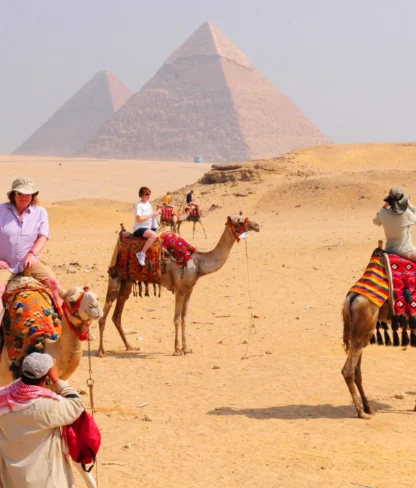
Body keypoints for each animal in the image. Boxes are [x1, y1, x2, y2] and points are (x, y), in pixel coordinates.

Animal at [98, 215, 258, 356]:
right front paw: (177, 349)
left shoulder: (189, 290)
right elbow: (176, 318)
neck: (198, 263)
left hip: (127, 282)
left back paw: (129, 346)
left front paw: (186, 348)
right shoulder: (179, 290)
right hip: (115, 278)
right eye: (240, 221)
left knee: (117, 315)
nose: (256, 225)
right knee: (103, 315)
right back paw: (101, 351)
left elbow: (184, 318)